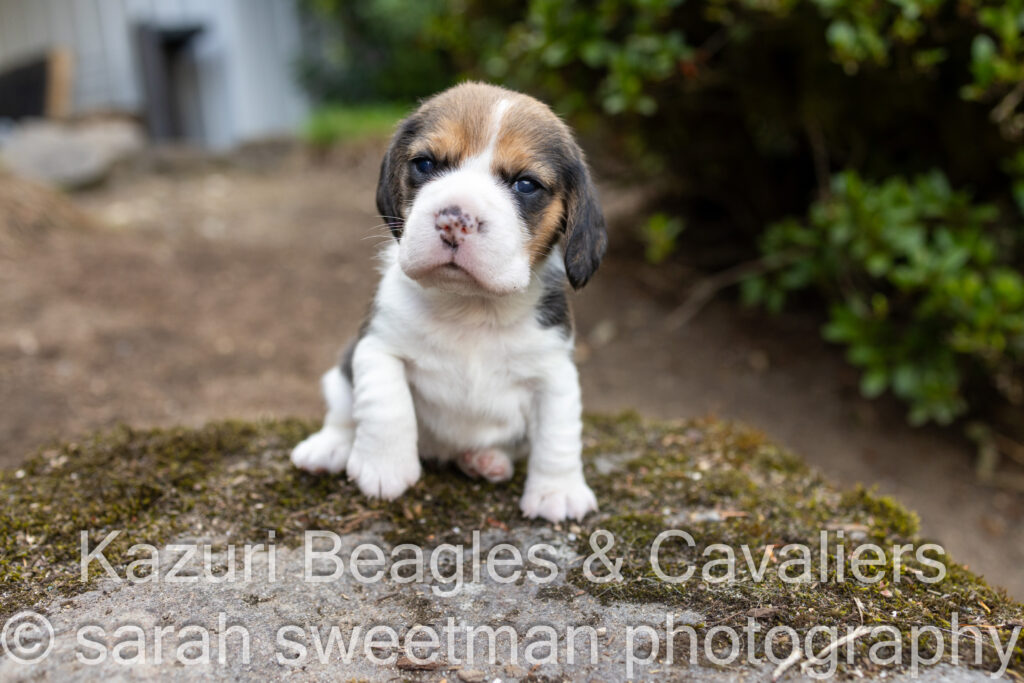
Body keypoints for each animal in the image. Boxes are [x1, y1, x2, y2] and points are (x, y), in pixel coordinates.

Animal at [290, 82, 607, 522]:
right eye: (424, 164)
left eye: (526, 185)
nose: (454, 218)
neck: (470, 306)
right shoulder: (377, 346)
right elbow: (385, 402)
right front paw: (384, 467)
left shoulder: (555, 374)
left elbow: (558, 435)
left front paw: (556, 490)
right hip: (339, 372)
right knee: (342, 412)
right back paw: (330, 446)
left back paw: (486, 460)